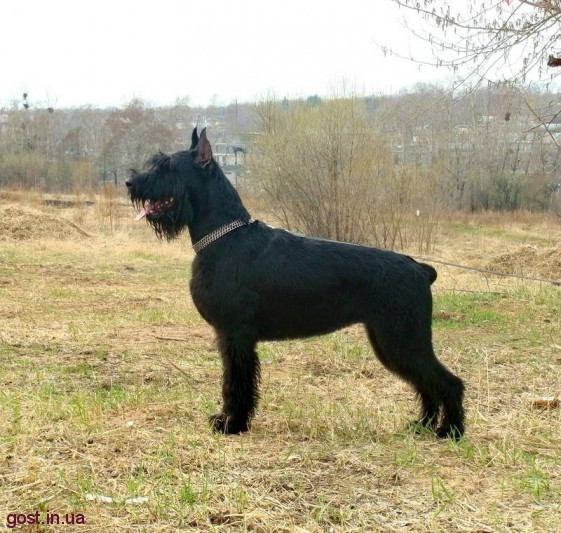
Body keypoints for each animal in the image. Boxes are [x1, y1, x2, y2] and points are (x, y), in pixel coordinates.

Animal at [126, 127, 465, 439]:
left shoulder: (235, 334)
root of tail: (420, 269)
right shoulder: (232, 336)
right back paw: (422, 425)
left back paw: (451, 430)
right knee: (426, 383)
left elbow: (236, 383)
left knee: (448, 382)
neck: (225, 236)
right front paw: (228, 420)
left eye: (168, 167)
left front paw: (232, 425)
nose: (130, 182)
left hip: (403, 340)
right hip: (390, 343)